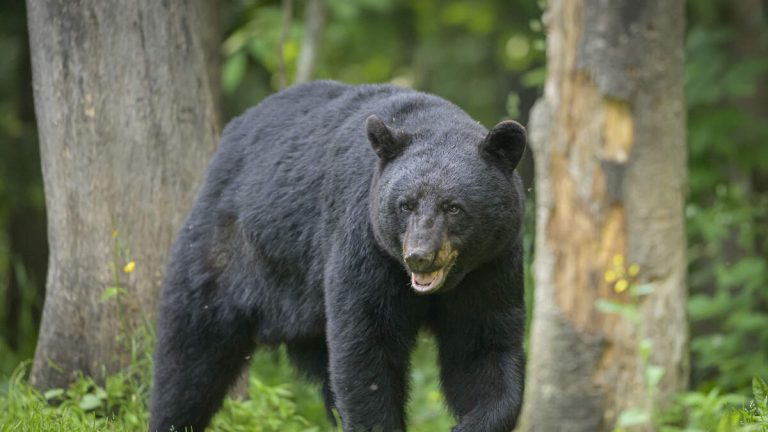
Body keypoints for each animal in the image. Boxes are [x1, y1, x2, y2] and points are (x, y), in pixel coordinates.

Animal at [149, 80, 527, 432]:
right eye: (405, 204)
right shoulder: (366, 246)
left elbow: (483, 348)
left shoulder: (491, 266)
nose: (419, 256)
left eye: (453, 207)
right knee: (190, 357)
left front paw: (472, 421)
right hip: (225, 254)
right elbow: (365, 351)